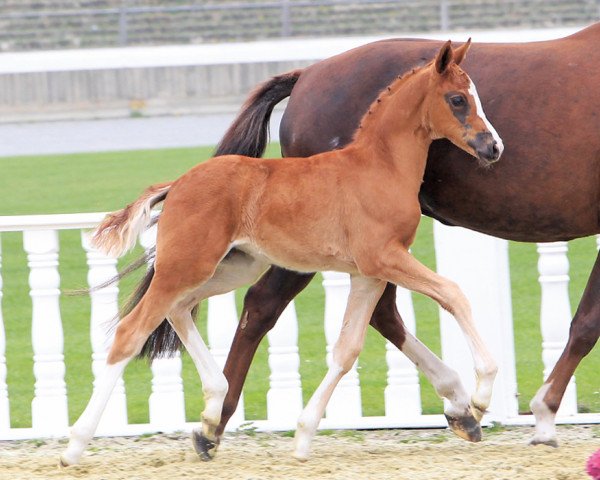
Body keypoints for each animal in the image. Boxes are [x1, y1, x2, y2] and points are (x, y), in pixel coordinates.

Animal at [61, 41, 502, 464]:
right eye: (458, 99)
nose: (493, 147)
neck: (379, 166)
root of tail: (178, 183)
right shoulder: (384, 258)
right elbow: (453, 294)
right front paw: (480, 398)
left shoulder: (367, 273)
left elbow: (347, 350)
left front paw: (304, 436)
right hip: (186, 265)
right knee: (131, 331)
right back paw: (75, 447)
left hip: (232, 268)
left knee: (178, 310)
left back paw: (211, 412)